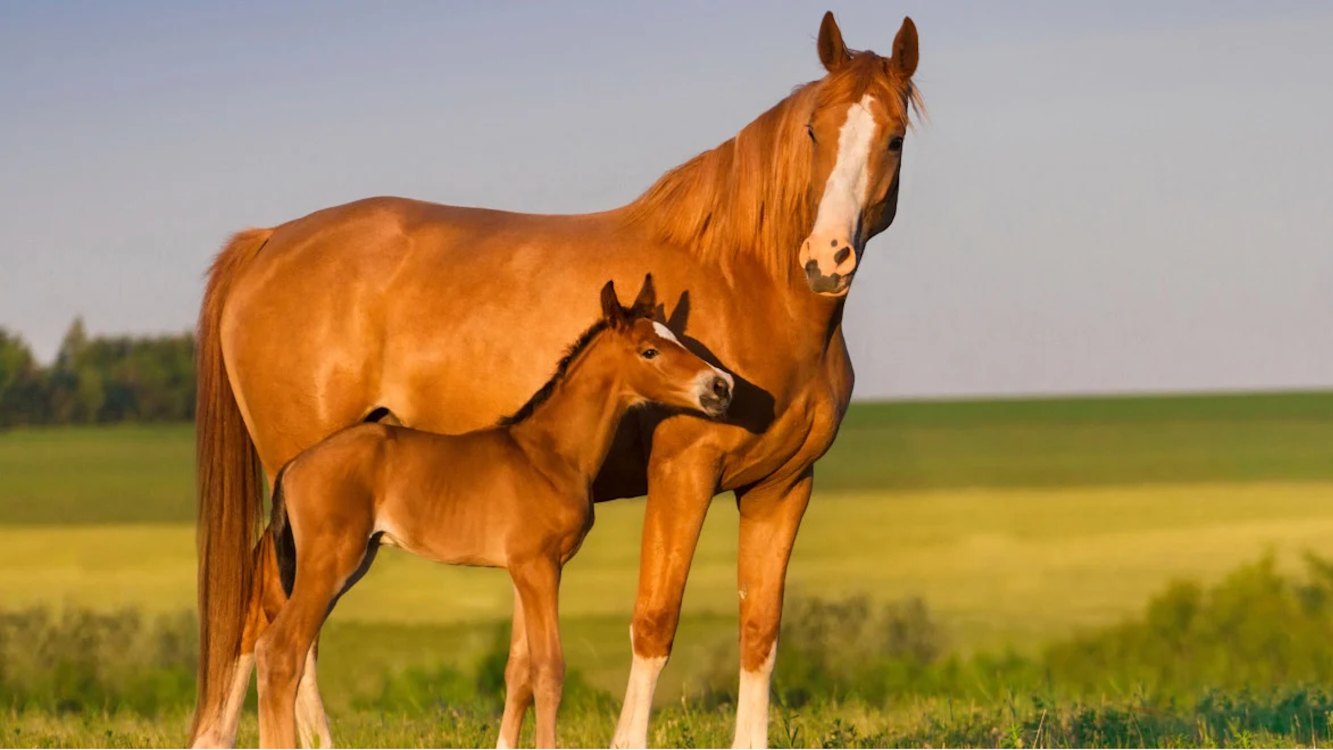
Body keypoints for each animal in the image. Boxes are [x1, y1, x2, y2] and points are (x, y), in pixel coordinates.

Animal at [241, 277, 732, 749]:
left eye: (677, 339)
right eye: (649, 350)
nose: (720, 387)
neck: (549, 453)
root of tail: (294, 466)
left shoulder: (527, 571)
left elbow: (520, 670)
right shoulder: (539, 567)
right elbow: (549, 669)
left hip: (349, 565)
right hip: (329, 565)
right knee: (279, 652)